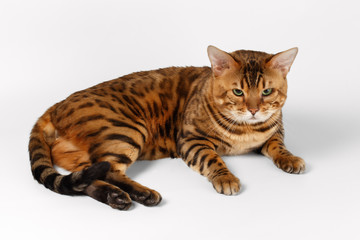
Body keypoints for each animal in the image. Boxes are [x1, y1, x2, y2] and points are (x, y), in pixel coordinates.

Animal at [28, 45, 304, 210]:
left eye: (267, 92)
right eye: (238, 92)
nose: (254, 109)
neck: (246, 131)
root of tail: (55, 106)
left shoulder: (275, 131)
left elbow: (278, 146)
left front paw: (290, 158)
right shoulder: (192, 140)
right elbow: (213, 159)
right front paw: (226, 177)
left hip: (83, 153)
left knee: (88, 177)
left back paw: (115, 197)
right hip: (127, 129)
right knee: (108, 171)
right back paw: (142, 193)